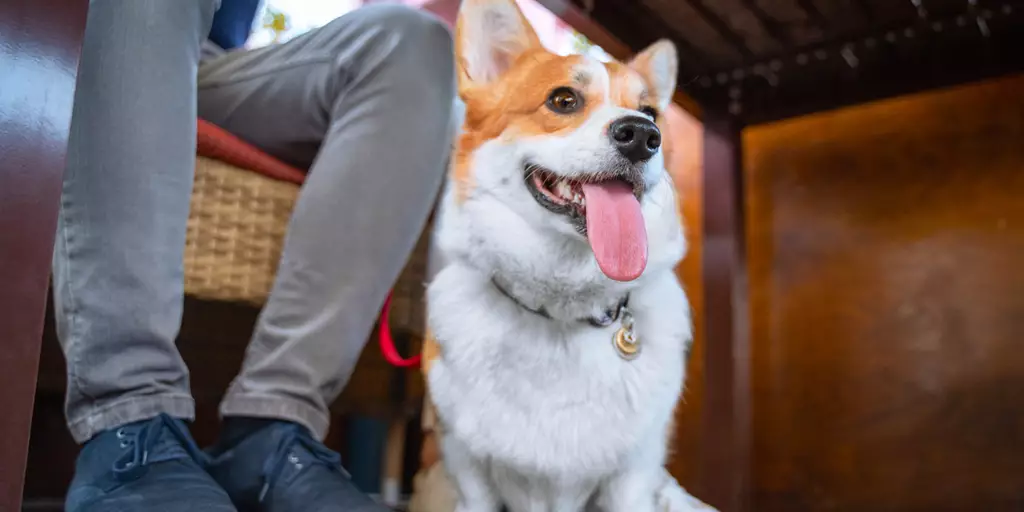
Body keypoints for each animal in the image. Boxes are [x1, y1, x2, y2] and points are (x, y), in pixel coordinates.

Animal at [413, 2, 712, 509]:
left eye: (649, 111)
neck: (561, 311)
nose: (642, 135)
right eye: (563, 101)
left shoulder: (633, 474)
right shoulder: (465, 464)